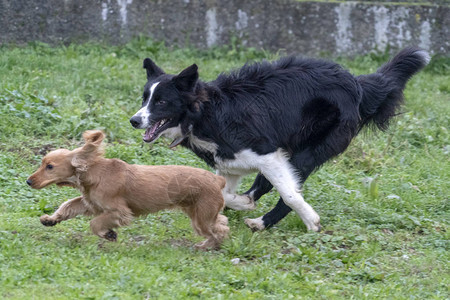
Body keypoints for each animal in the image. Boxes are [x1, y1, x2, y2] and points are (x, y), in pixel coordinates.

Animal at [27, 130, 229, 250]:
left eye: (50, 166)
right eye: (43, 163)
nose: (28, 181)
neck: (94, 171)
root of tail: (218, 179)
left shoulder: (119, 211)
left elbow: (95, 223)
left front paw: (109, 234)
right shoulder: (90, 203)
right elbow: (67, 205)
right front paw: (50, 219)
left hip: (202, 217)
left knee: (220, 230)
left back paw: (206, 246)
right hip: (198, 212)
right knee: (222, 222)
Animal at [129, 47, 428, 231]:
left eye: (162, 101)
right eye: (144, 99)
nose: (134, 120)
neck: (204, 113)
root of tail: (357, 83)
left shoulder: (266, 153)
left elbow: (290, 194)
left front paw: (311, 220)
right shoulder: (231, 163)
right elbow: (224, 192)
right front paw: (238, 202)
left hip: (308, 151)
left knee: (288, 188)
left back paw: (263, 222)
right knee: (264, 184)